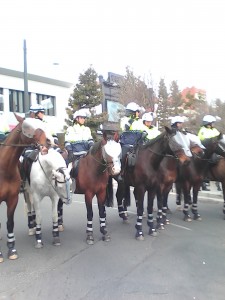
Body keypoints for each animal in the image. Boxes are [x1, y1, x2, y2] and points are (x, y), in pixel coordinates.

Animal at [0, 116, 46, 262]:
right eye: (27, 126)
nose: (47, 142)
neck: (4, 169)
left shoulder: (12, 199)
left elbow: (10, 223)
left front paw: (12, 250)